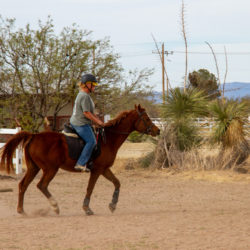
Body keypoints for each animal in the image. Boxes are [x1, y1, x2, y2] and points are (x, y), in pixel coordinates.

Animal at [0, 104, 160, 216]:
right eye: (146, 119)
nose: (157, 130)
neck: (108, 139)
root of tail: (33, 136)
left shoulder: (104, 169)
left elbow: (117, 183)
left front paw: (112, 205)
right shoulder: (97, 170)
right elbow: (90, 188)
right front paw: (87, 208)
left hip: (34, 168)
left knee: (23, 185)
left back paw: (22, 210)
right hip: (50, 169)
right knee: (42, 185)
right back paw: (55, 207)